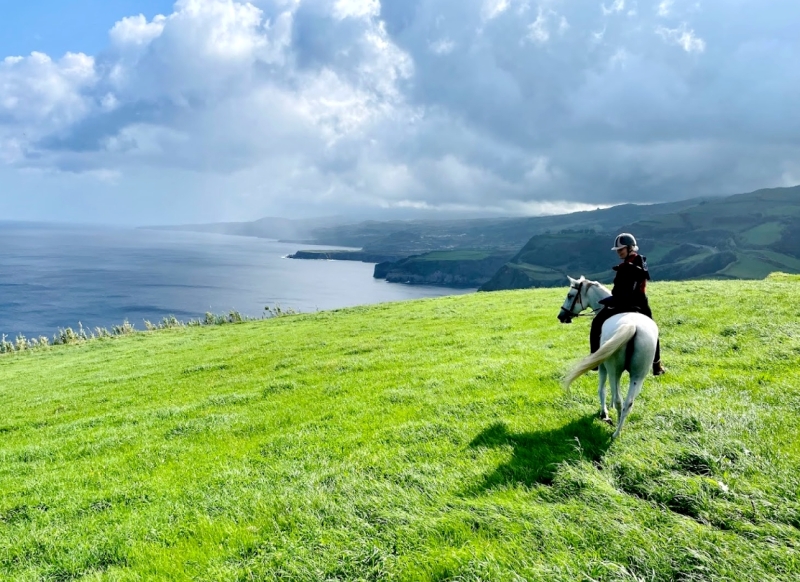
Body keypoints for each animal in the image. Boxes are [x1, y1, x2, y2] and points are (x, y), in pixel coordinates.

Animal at [560, 278, 660, 438]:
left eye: (570, 295)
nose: (561, 316)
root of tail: (632, 326)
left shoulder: (602, 366)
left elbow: (602, 390)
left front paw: (604, 412)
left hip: (613, 370)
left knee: (619, 399)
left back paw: (615, 431)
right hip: (639, 374)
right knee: (628, 402)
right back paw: (619, 428)